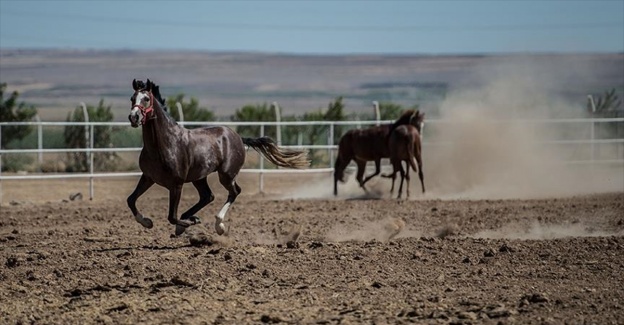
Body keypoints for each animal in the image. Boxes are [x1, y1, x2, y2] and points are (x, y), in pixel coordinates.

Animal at [127, 78, 310, 235]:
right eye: (132, 98)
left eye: (146, 99)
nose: (134, 117)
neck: (163, 145)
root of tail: (238, 137)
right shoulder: (148, 177)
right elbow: (131, 200)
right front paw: (147, 222)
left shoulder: (176, 184)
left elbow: (172, 216)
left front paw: (188, 223)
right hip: (199, 177)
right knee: (208, 196)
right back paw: (192, 219)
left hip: (226, 175)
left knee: (234, 192)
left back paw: (218, 225)